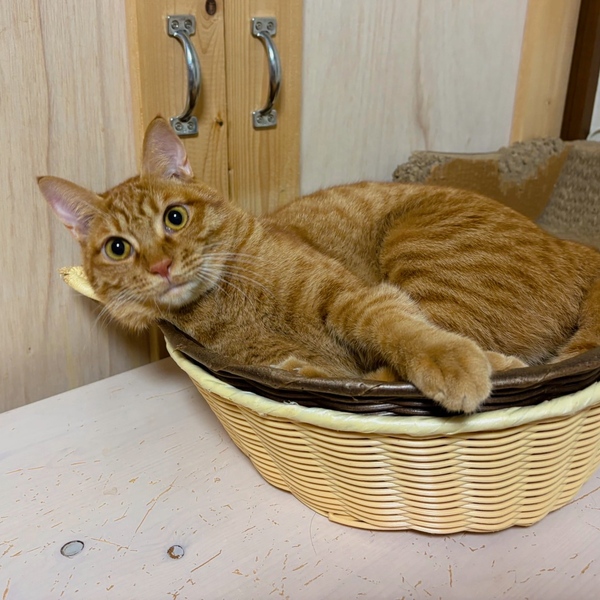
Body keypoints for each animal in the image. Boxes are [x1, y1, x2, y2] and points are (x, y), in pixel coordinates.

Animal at [38, 117, 600, 414]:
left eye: (174, 217)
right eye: (117, 248)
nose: (159, 266)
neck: (228, 301)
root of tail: (577, 248)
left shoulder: (353, 297)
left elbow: (401, 330)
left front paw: (450, 362)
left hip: (423, 251)